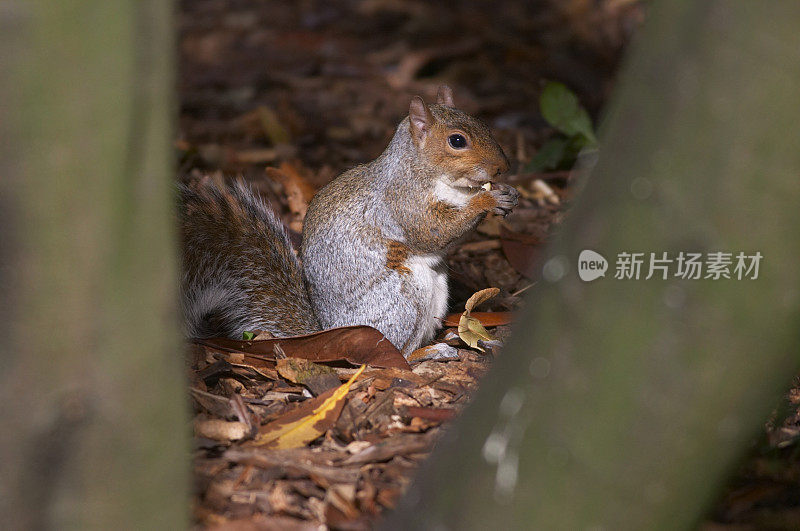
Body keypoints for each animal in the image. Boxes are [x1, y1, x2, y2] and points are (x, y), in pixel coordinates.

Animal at [180, 86, 520, 358]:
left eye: (483, 124)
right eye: (457, 140)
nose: (503, 167)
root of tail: (328, 330)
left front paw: (507, 194)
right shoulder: (402, 201)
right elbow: (432, 231)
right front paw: (487, 201)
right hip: (402, 299)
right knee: (399, 354)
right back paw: (429, 352)